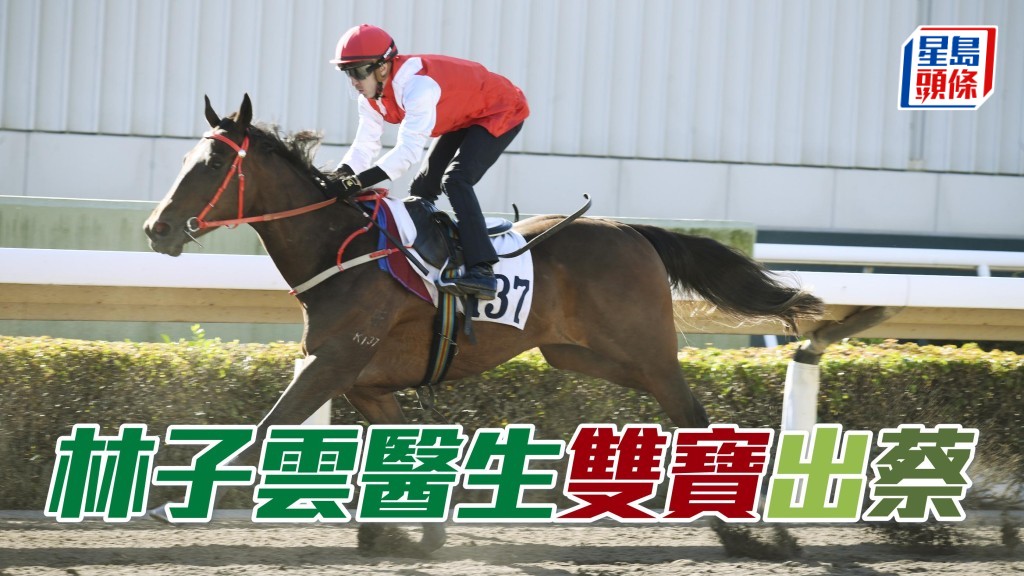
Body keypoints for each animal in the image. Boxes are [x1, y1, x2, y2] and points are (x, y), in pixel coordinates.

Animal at [143, 94, 824, 553]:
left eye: (212, 165)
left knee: (692, 415)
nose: (157, 228)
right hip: (583, 354)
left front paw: (167, 502)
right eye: (186, 157)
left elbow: (261, 431)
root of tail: (634, 232)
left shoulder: (332, 363)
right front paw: (410, 535)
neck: (340, 250)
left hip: (646, 350)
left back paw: (747, 534)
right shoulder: (366, 383)